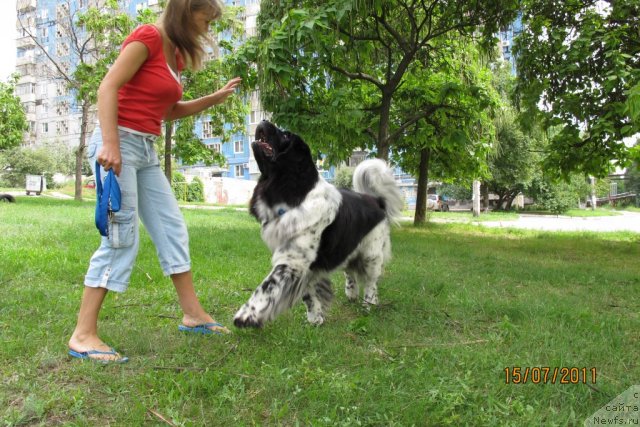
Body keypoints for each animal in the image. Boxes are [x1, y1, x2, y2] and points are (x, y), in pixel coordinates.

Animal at [232, 122, 402, 330]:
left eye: (286, 135)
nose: (263, 121)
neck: (297, 195)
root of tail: (376, 200)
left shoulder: (292, 261)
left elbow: (267, 286)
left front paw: (247, 315)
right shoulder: (304, 266)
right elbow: (308, 294)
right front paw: (315, 318)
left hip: (371, 254)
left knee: (371, 281)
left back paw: (368, 304)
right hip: (347, 247)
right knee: (350, 270)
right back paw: (352, 293)